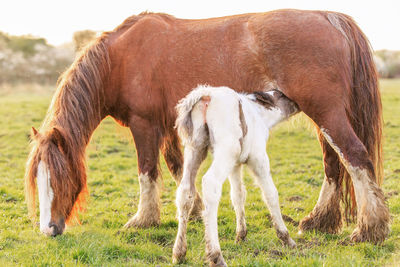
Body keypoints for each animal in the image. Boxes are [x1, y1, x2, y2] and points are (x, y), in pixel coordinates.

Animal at [25, 9, 388, 244]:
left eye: (60, 178)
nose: (48, 229)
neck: (120, 59)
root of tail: (330, 18)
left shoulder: (144, 125)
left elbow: (147, 171)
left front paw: (143, 220)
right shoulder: (169, 126)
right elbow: (176, 168)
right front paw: (196, 208)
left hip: (326, 113)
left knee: (355, 157)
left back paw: (369, 230)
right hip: (322, 117)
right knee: (334, 164)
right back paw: (319, 222)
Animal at [173, 86, 298, 267]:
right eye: (282, 95)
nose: (298, 103)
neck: (258, 114)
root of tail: (207, 94)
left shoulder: (235, 165)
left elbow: (238, 195)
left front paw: (241, 235)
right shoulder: (259, 159)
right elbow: (271, 194)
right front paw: (286, 238)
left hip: (195, 149)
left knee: (185, 191)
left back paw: (179, 253)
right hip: (226, 152)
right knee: (210, 184)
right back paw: (216, 256)